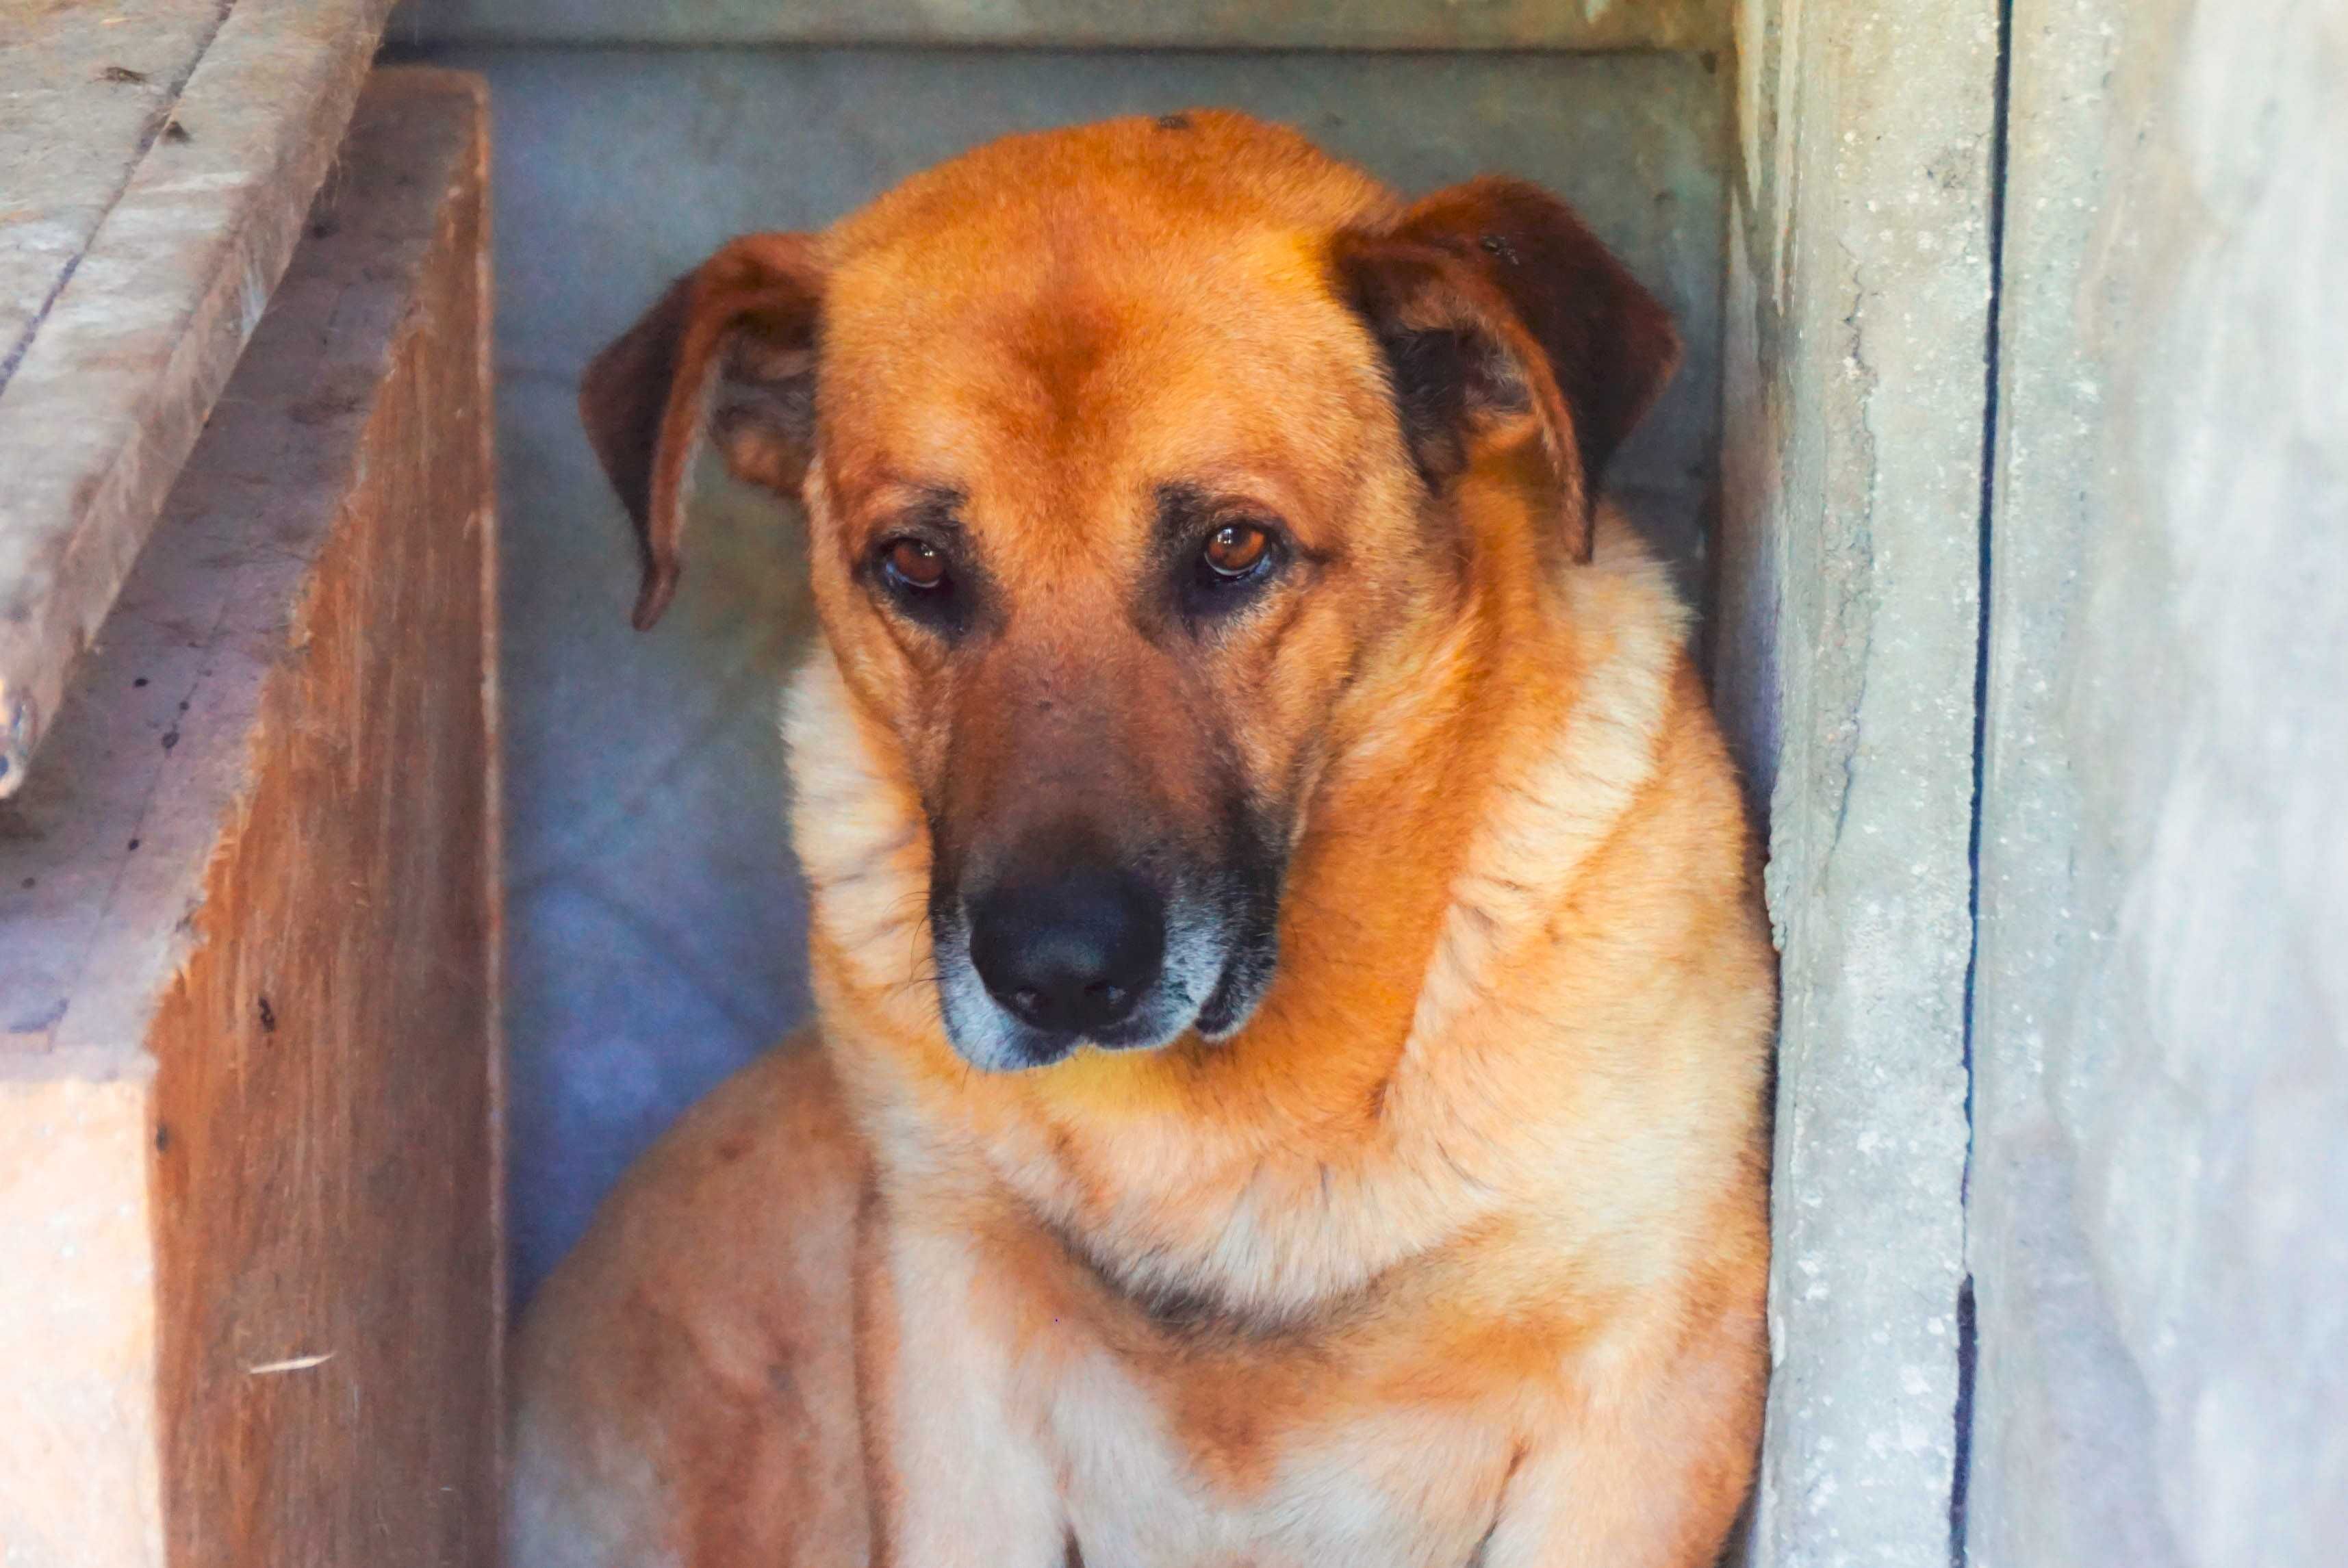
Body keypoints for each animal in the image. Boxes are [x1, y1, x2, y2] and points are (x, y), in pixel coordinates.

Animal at [509, 113, 1765, 1568]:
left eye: (1234, 547)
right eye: (915, 564)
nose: (1055, 975)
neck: (1244, 1109)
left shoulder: (1649, 1386)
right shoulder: (948, 1350)